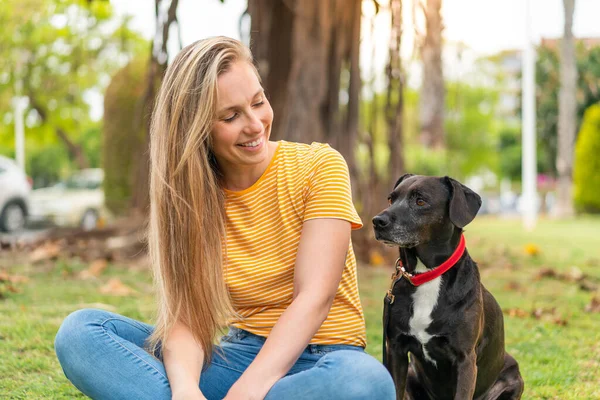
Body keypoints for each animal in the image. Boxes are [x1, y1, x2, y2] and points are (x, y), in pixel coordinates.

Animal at [372, 175, 524, 400]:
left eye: (420, 201)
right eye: (391, 199)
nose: (377, 221)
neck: (426, 275)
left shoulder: (465, 359)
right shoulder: (395, 350)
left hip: (513, 376)